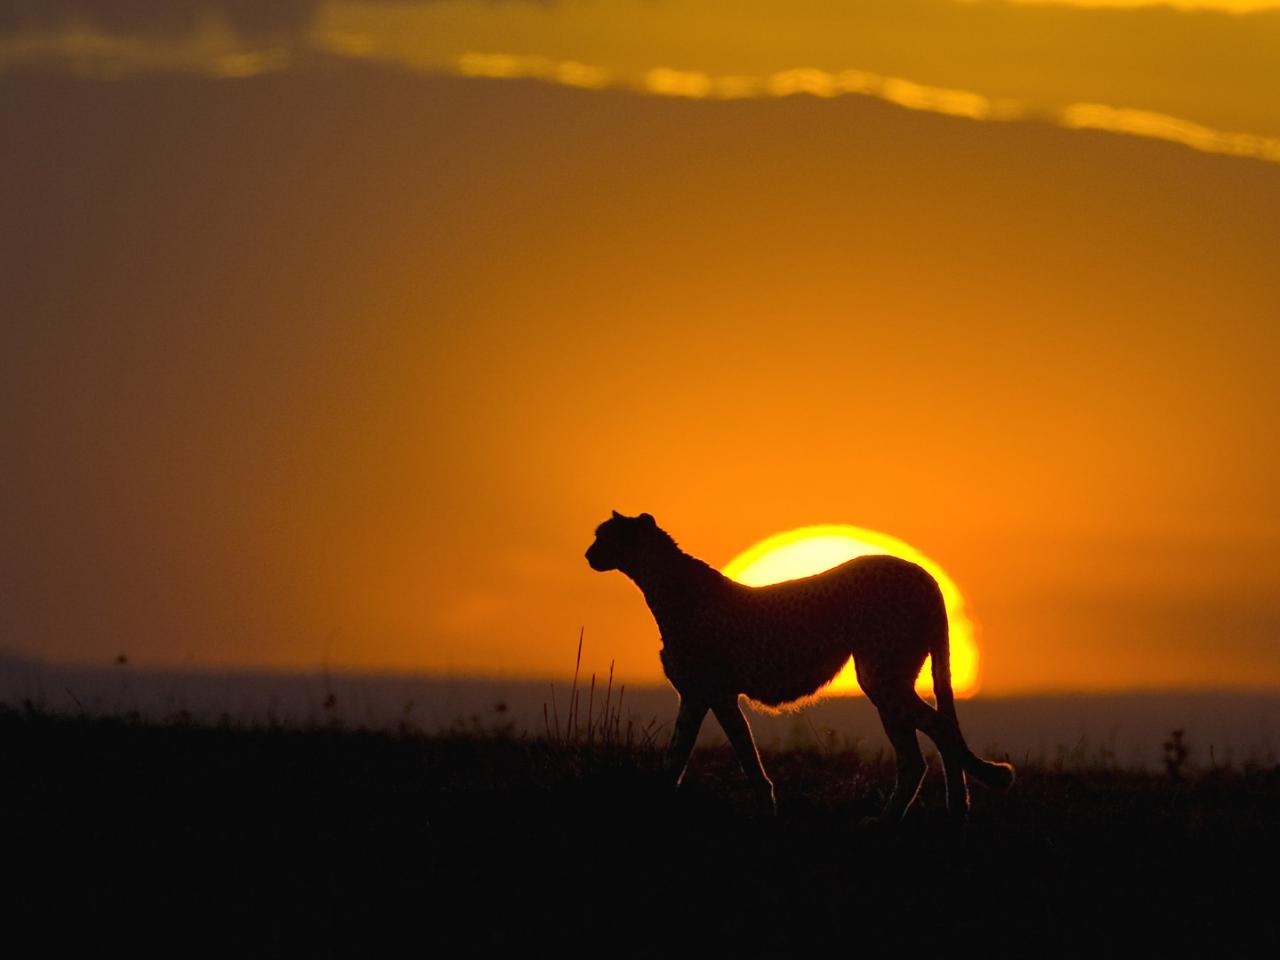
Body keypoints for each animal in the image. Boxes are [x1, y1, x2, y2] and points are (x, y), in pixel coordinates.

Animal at [586, 514, 1013, 824]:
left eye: (603, 536)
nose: (589, 553)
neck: (662, 584)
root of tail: (922, 573)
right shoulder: (698, 696)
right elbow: (679, 755)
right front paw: (660, 801)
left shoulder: (715, 693)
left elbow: (740, 753)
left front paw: (765, 808)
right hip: (892, 678)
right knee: (931, 738)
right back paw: (949, 811)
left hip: (881, 677)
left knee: (930, 737)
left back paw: (891, 820)